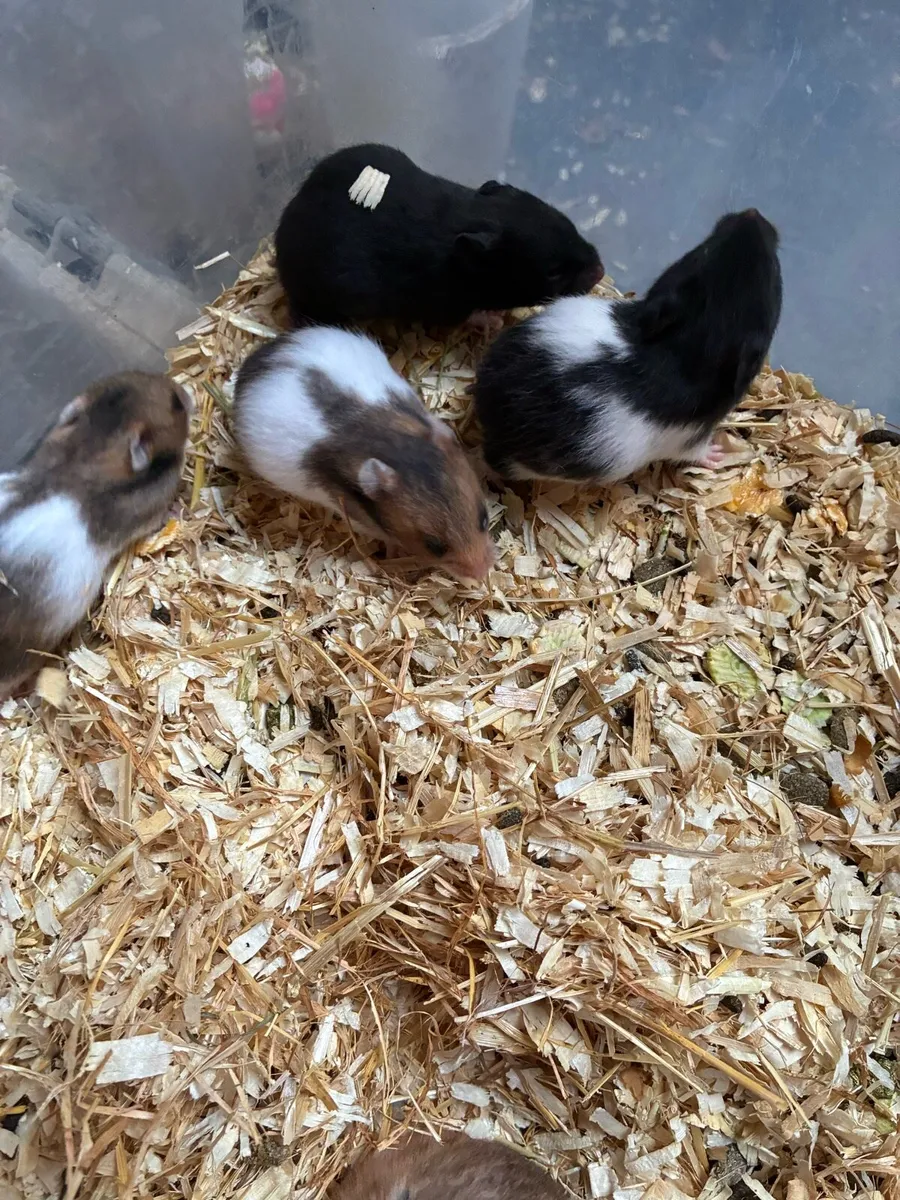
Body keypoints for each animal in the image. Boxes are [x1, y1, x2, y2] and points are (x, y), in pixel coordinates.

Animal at [274, 143, 603, 327]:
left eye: (570, 224)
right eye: (553, 272)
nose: (601, 272)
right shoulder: (443, 308)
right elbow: (470, 317)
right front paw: (496, 321)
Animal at [473, 208, 783, 483]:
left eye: (701, 251)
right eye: (774, 275)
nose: (753, 213)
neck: (695, 337)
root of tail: (486, 399)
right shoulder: (690, 437)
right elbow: (697, 452)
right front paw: (719, 453)